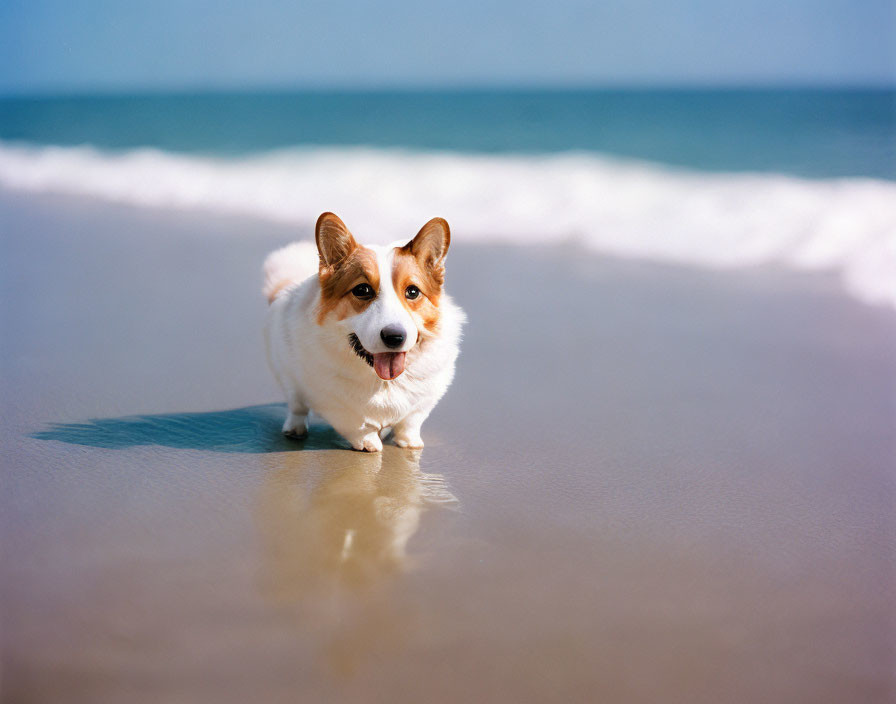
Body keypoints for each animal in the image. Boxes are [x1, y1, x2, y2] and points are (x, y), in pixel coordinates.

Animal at [262, 212, 466, 452]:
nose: (395, 337)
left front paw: (409, 442)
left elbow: (410, 421)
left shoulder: (425, 400)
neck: (384, 382)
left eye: (413, 292)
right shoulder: (330, 398)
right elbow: (356, 423)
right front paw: (369, 443)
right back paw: (295, 429)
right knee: (297, 407)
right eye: (362, 290)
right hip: (289, 377)